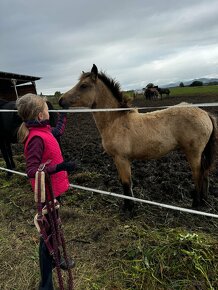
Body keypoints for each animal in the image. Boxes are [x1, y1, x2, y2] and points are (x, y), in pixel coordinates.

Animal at [58, 64, 217, 212]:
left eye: (83, 85)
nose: (60, 101)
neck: (116, 120)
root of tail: (205, 113)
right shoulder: (119, 160)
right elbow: (126, 183)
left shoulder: (121, 158)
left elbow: (126, 183)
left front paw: (128, 209)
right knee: (205, 173)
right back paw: (204, 201)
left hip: (193, 153)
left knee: (198, 174)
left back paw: (196, 203)